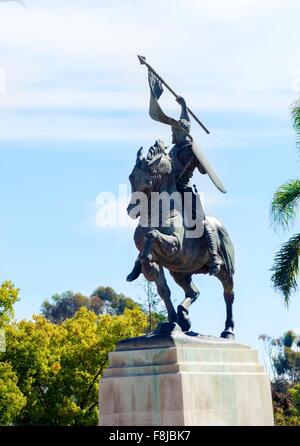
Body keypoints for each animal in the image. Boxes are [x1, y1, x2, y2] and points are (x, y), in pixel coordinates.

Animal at [126, 139, 234, 338]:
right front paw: (172, 321)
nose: (131, 210)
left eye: (148, 178)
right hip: (180, 272)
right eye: (131, 177)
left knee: (228, 295)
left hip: (226, 271)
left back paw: (228, 331)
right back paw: (184, 317)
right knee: (194, 292)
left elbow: (152, 235)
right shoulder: (162, 263)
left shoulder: (174, 247)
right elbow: (163, 290)